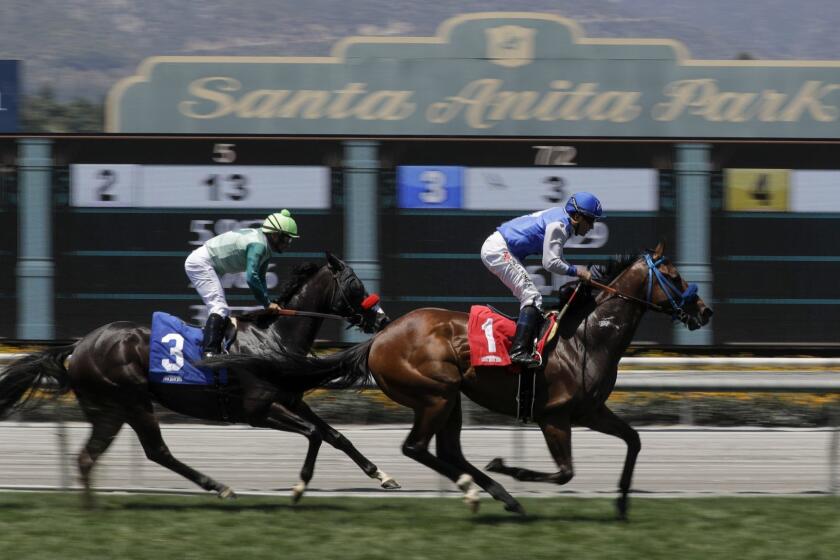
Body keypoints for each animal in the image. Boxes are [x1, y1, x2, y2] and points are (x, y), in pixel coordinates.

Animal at [0, 253, 398, 504]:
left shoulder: (291, 399)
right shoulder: (256, 410)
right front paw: (299, 487)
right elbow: (315, 433)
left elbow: (336, 436)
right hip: (131, 400)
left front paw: (383, 476)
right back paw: (219, 487)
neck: (273, 337)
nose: (382, 319)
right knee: (156, 450)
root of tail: (79, 345)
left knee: (93, 456)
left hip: (110, 410)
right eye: (355, 284)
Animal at [202, 243, 708, 520]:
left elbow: (635, 441)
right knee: (417, 448)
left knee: (446, 451)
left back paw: (496, 495)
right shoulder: (554, 417)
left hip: (452, 398)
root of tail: (381, 335)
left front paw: (622, 504)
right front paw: (512, 468)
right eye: (674, 275)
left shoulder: (592, 410)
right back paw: (484, 489)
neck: (584, 337)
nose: (703, 310)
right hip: (436, 393)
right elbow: (565, 472)